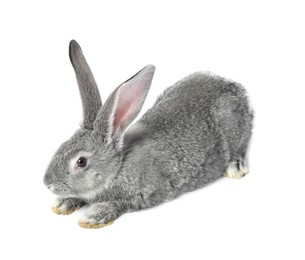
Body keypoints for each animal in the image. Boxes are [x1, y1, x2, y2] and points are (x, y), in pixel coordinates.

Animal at [42, 39, 252, 229]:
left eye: (81, 162)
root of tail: (234, 87)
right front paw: (64, 203)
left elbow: (122, 203)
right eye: (61, 146)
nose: (47, 183)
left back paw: (235, 167)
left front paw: (95, 215)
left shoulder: (145, 194)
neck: (118, 167)